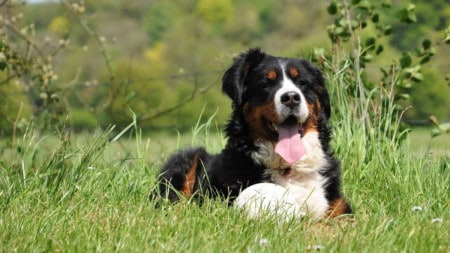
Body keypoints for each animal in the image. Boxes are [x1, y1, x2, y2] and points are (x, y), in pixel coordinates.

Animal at [155, 48, 352, 218]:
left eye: (301, 82)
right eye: (267, 84)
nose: (291, 98)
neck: (288, 167)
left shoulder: (338, 207)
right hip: (188, 158)